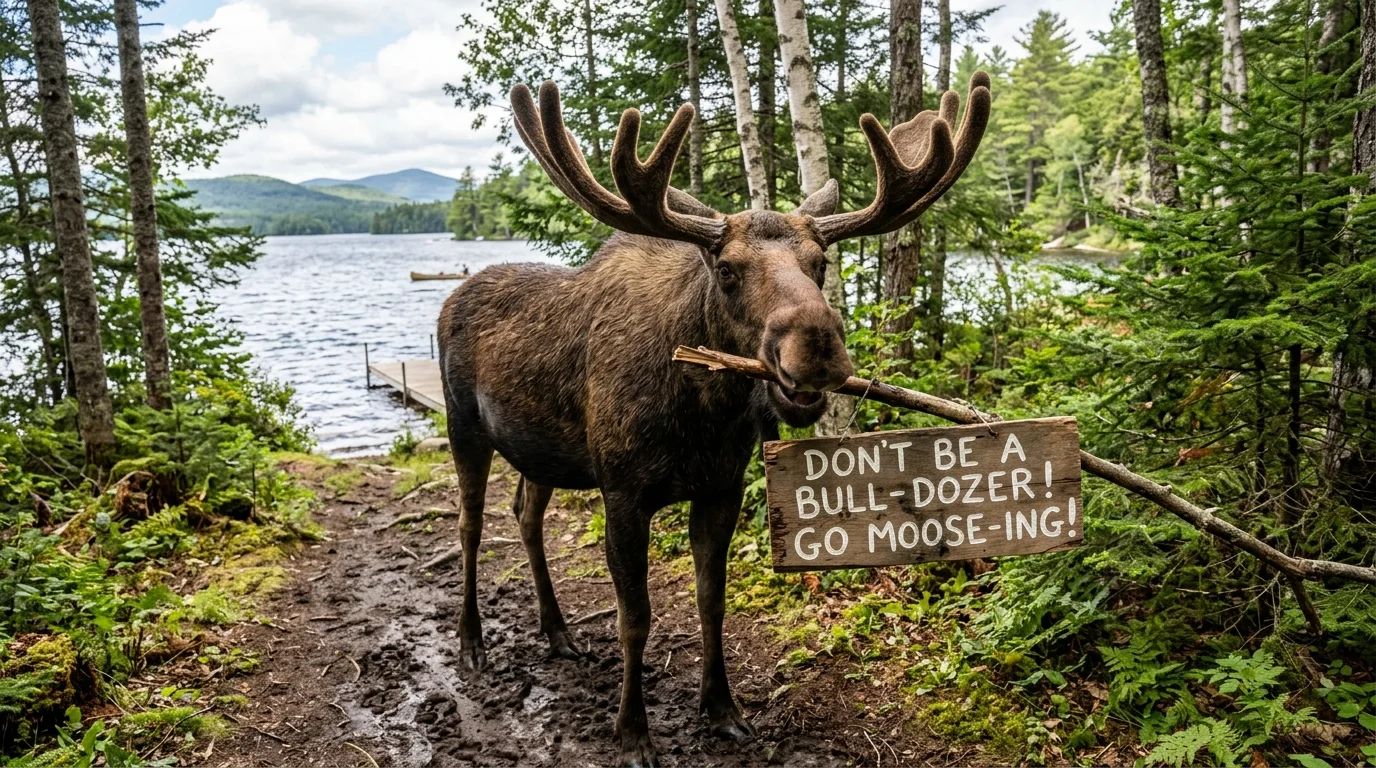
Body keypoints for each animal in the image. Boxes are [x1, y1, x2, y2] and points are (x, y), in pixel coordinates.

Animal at [436, 72, 990, 767]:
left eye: (821, 264)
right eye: (725, 270)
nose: (817, 344)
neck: (700, 415)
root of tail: (450, 296)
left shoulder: (720, 487)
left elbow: (712, 599)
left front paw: (723, 710)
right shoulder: (623, 492)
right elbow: (635, 618)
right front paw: (633, 734)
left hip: (542, 452)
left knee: (526, 514)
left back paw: (558, 633)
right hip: (464, 426)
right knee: (470, 525)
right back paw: (471, 643)